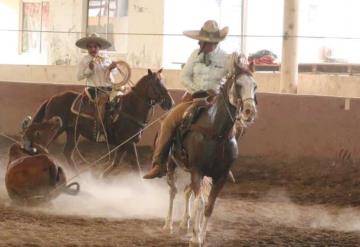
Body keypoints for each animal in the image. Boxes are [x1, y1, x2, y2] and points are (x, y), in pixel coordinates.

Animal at [28, 69, 173, 174]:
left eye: (164, 82)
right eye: (157, 84)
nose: (170, 103)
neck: (130, 108)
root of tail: (51, 99)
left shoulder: (123, 144)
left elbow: (114, 164)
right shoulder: (129, 143)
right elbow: (136, 167)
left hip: (73, 132)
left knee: (67, 153)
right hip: (54, 130)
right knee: (41, 147)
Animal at [162, 61, 258, 245]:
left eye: (255, 86)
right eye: (238, 84)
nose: (249, 112)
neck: (216, 133)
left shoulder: (220, 176)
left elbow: (209, 206)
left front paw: (202, 235)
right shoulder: (197, 171)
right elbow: (199, 203)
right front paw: (195, 238)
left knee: (187, 192)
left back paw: (184, 223)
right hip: (172, 164)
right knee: (173, 191)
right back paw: (168, 225)